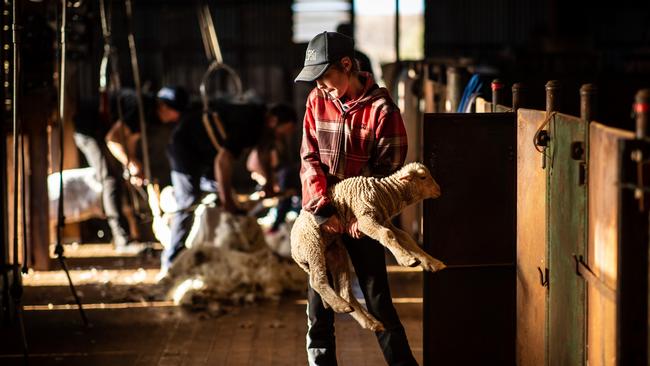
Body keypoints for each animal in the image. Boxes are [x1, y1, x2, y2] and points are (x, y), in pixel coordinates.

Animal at [290, 162, 446, 330]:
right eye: (423, 177)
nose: (439, 190)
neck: (384, 194)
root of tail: (294, 253)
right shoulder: (364, 219)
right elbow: (387, 235)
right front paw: (407, 260)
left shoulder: (383, 220)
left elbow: (405, 238)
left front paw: (432, 262)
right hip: (312, 246)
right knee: (317, 281)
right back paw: (340, 306)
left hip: (334, 252)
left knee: (344, 291)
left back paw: (371, 322)